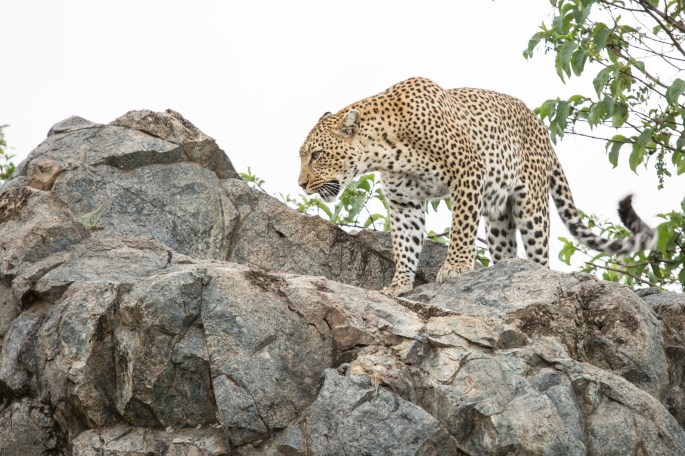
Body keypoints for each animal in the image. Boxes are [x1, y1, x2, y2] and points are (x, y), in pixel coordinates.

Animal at [297, 77, 655, 296]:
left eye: (316, 155)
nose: (301, 184)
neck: (385, 149)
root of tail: (541, 127)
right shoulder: (404, 201)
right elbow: (405, 244)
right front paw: (399, 284)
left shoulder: (468, 171)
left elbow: (461, 227)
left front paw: (455, 268)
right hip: (498, 221)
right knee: (506, 250)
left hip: (532, 207)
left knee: (539, 255)